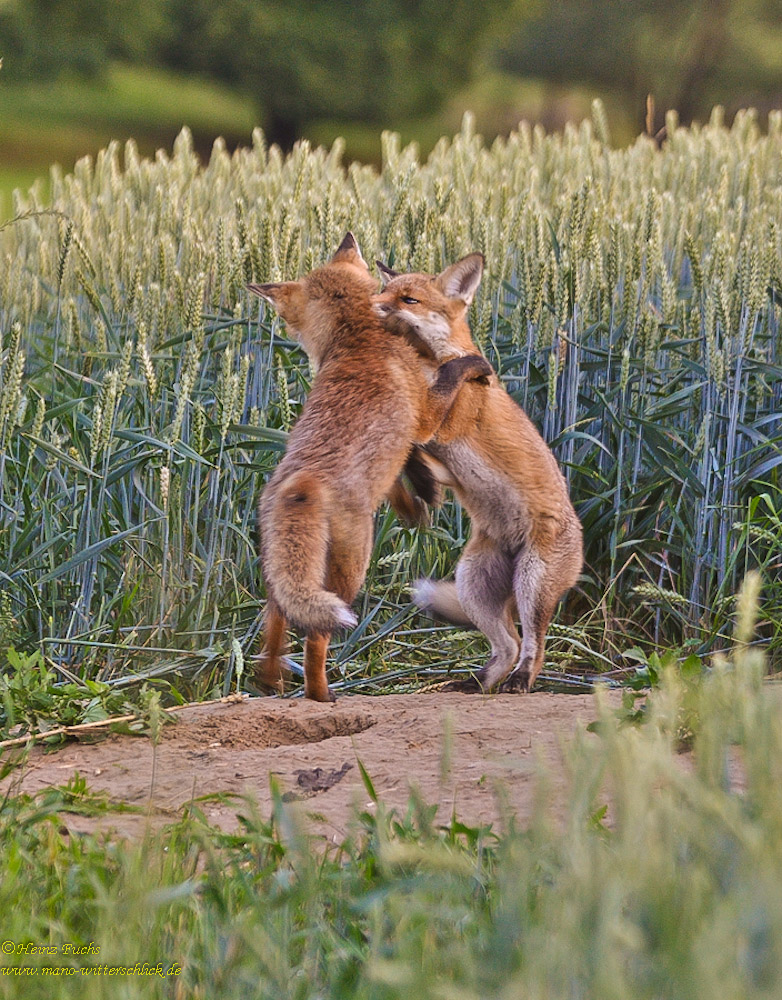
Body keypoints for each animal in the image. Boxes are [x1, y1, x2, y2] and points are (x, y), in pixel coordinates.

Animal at [248, 234, 494, 704]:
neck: (357, 338)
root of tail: (302, 480)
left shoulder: (396, 449)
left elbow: (404, 480)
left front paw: (418, 505)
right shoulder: (425, 417)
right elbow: (452, 374)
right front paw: (473, 365)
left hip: (281, 570)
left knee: (276, 617)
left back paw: (270, 678)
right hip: (349, 573)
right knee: (316, 637)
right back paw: (320, 695)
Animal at [374, 256, 580, 696]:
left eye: (408, 299)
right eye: (385, 291)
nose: (370, 303)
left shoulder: (439, 426)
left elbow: (427, 418)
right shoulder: (442, 458)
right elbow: (412, 458)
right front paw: (420, 488)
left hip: (532, 583)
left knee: (533, 646)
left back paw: (520, 680)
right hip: (473, 585)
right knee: (507, 644)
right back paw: (477, 682)